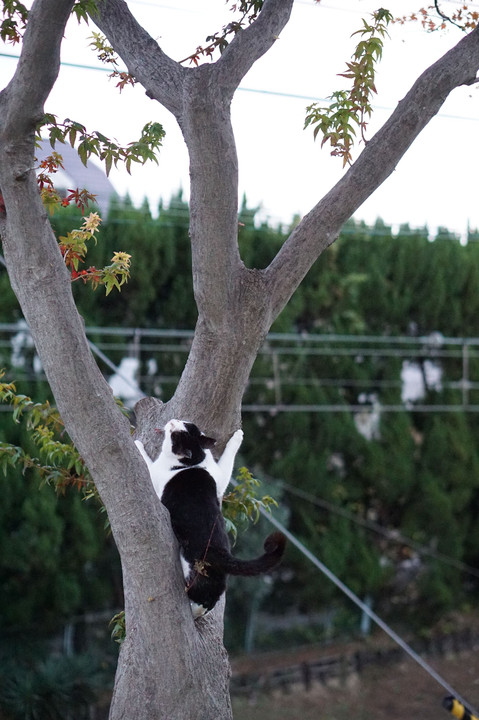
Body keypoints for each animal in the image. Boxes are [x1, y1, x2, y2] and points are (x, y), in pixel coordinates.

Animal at [134, 422, 284, 620]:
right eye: (185, 422)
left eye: (176, 435)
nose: (172, 422)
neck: (193, 462)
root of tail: (221, 553)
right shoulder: (220, 479)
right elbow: (227, 462)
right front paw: (238, 436)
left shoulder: (153, 475)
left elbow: (144, 461)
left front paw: (136, 444)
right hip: (217, 581)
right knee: (212, 595)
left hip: (191, 565)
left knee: (197, 592)